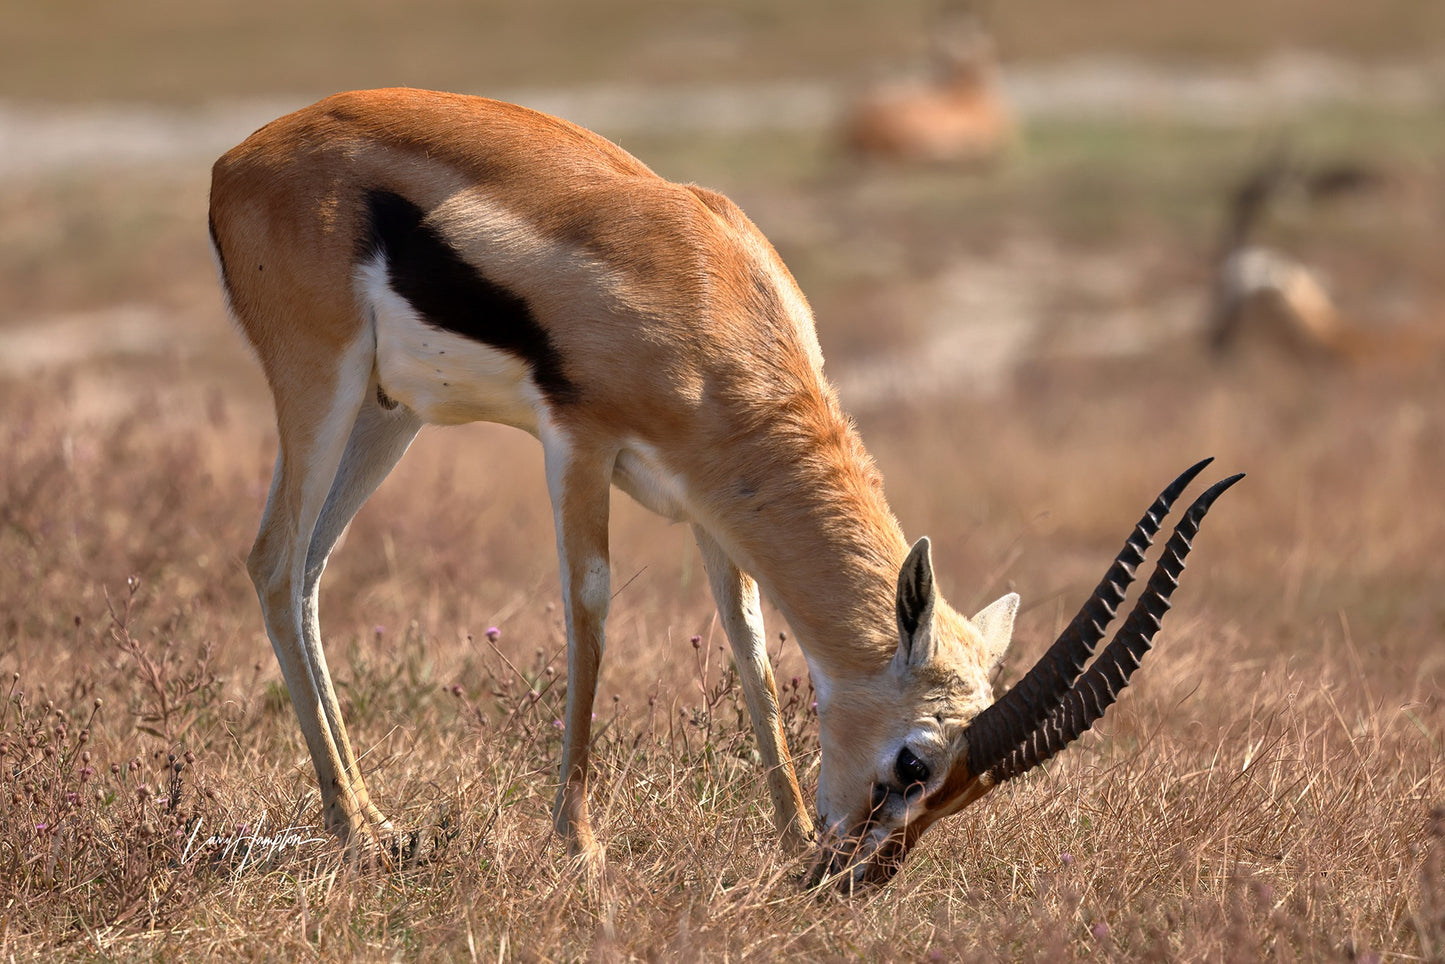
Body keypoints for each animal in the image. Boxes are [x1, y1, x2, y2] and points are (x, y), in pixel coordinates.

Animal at [209, 88, 1239, 889]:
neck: (714, 301)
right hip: (323, 382)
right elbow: (590, 612)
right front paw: (581, 847)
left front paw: (786, 839)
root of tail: (238, 158)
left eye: (958, 789)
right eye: (913, 759)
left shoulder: (711, 504)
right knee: (271, 560)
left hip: (390, 412)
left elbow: (747, 644)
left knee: (308, 571)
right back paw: (358, 831)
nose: (856, 877)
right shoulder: (577, 445)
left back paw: (374, 822)